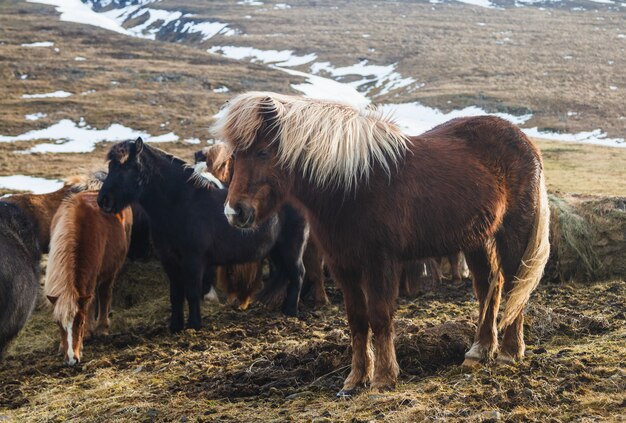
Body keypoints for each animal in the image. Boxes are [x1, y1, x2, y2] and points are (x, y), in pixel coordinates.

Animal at [45, 191, 132, 364]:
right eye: (58, 323)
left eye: (80, 322)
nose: (72, 359)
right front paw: (62, 346)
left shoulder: (92, 278)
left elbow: (89, 305)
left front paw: (86, 333)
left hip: (109, 272)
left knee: (104, 295)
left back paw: (101, 329)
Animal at [97, 138, 308, 332]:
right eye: (111, 166)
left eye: (127, 167)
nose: (103, 200)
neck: (180, 204)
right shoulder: (169, 261)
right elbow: (175, 295)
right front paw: (176, 326)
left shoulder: (194, 260)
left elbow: (192, 292)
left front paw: (194, 325)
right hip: (276, 251)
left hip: (291, 249)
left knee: (297, 274)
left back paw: (290, 311)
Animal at [212, 93, 548, 398]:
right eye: (235, 156)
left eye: (263, 152)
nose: (234, 213)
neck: (351, 184)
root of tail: (524, 142)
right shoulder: (343, 264)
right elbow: (357, 320)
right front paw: (355, 379)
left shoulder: (379, 261)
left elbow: (380, 316)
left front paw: (384, 378)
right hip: (477, 238)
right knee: (489, 286)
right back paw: (479, 351)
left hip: (512, 232)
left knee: (514, 284)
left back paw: (509, 353)